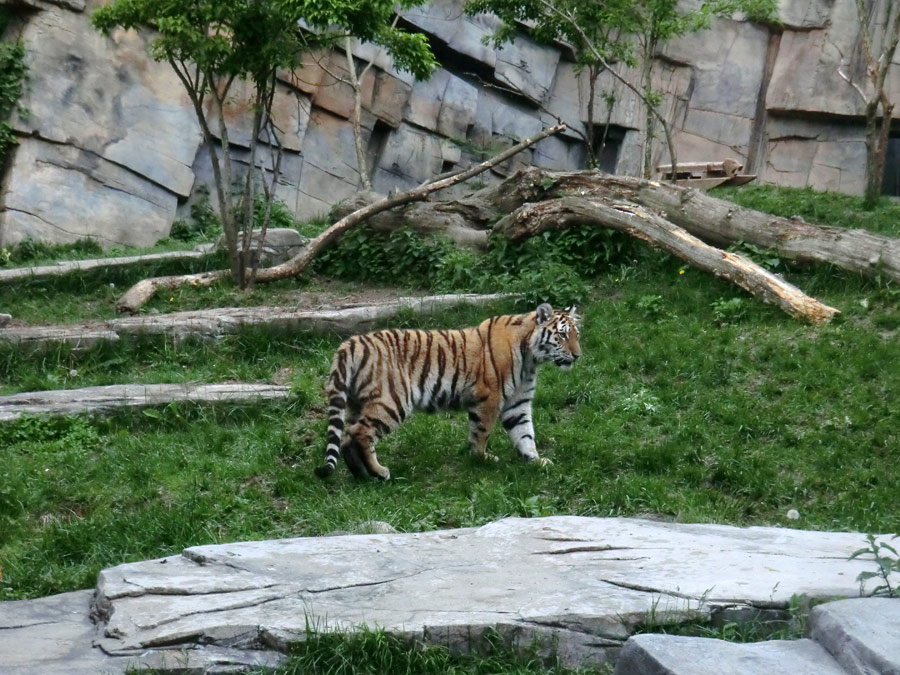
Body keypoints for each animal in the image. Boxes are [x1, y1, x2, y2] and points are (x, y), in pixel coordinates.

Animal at [316, 302, 584, 480]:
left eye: (577, 335)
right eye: (562, 335)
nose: (577, 356)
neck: (531, 358)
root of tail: (349, 344)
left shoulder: (518, 402)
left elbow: (525, 433)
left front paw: (536, 461)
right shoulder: (489, 398)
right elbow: (481, 433)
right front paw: (482, 459)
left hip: (357, 402)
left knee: (348, 436)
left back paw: (362, 474)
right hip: (392, 401)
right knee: (359, 433)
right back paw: (379, 472)